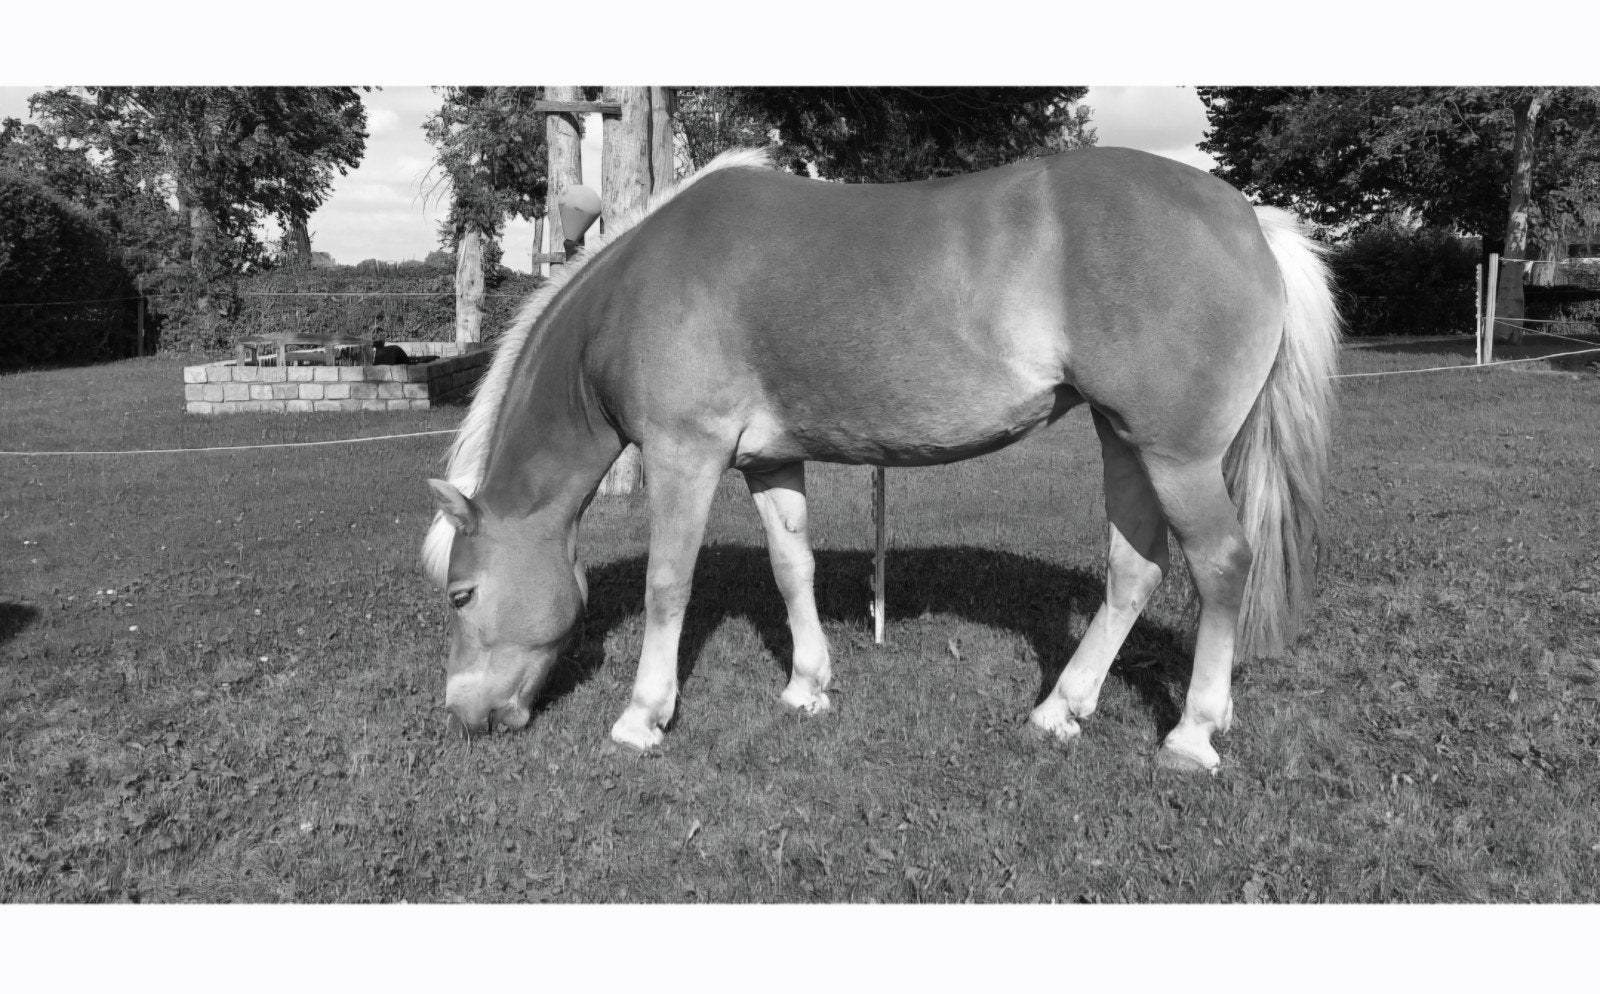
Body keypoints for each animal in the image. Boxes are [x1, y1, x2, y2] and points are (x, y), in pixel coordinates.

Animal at [422, 145, 1339, 773]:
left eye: (462, 593)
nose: (461, 715)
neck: (638, 287)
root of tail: (1250, 219)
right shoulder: (767, 464)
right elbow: (791, 569)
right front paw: (807, 686)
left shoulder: (686, 457)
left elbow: (666, 587)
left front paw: (641, 717)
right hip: (1126, 442)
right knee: (1134, 572)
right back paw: (1061, 709)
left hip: (1177, 457)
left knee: (1221, 566)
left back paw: (1192, 734)